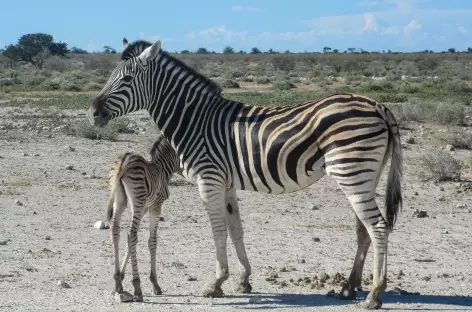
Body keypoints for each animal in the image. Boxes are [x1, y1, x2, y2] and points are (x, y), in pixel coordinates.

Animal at [106, 135, 180, 302]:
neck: (162, 168)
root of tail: (124, 161)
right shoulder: (155, 206)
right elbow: (152, 241)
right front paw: (155, 284)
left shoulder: (145, 208)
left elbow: (132, 243)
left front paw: (122, 276)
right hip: (137, 200)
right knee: (131, 233)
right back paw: (137, 287)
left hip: (121, 199)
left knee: (117, 229)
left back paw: (117, 282)